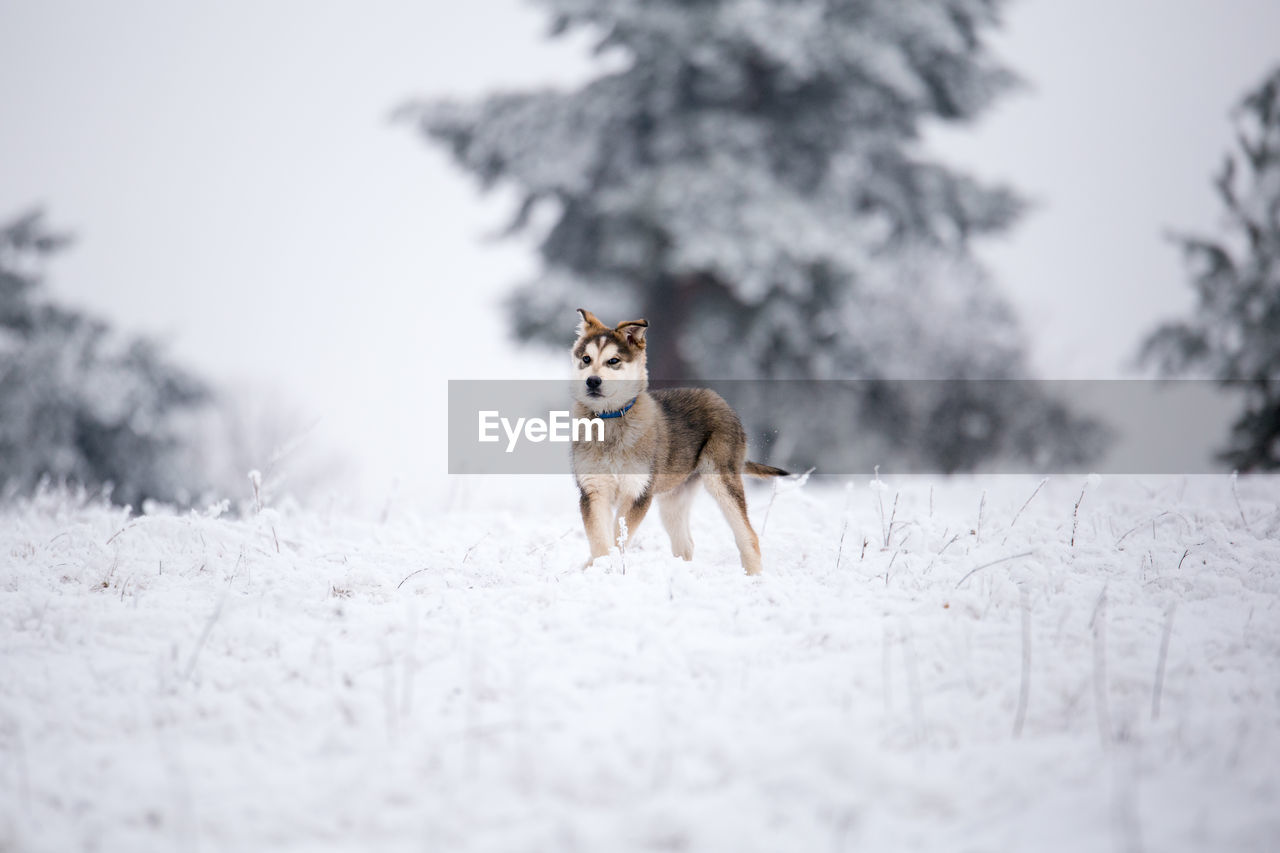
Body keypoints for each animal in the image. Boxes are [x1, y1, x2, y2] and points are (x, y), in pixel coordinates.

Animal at [573, 306, 788, 571]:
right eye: (586, 359)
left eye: (613, 361)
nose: (592, 381)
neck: (610, 419)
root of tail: (720, 400)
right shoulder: (592, 490)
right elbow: (598, 538)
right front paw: (597, 566)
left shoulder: (638, 492)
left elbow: (618, 537)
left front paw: (609, 566)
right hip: (673, 498)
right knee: (685, 544)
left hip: (720, 480)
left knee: (749, 537)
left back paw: (754, 577)